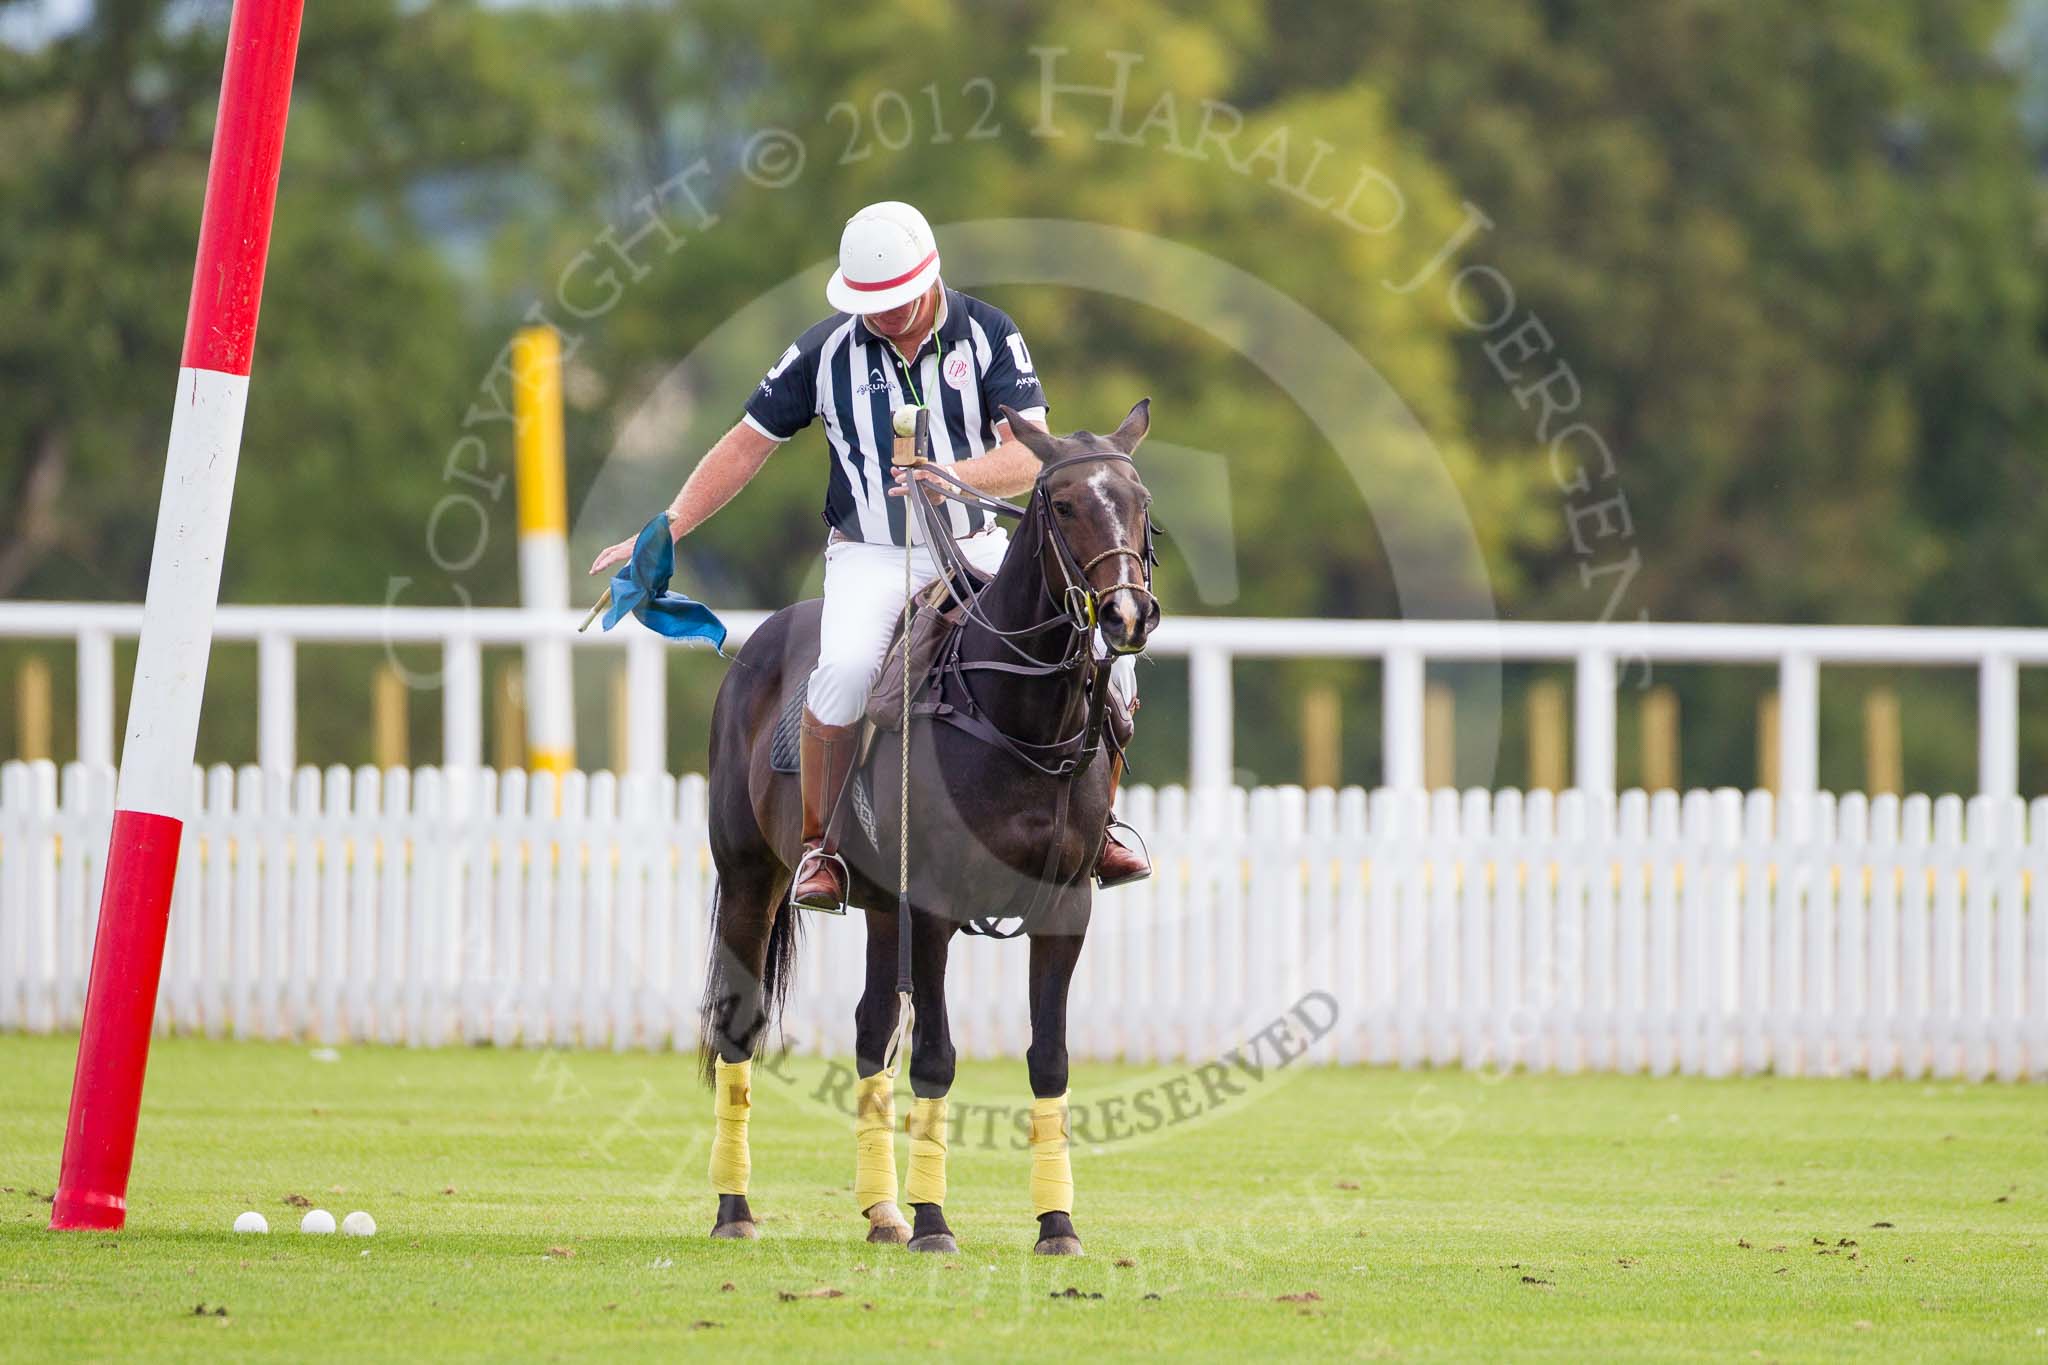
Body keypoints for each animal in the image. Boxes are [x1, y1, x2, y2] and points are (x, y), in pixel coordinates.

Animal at [700, 397, 1155, 1260]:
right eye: (1064, 504)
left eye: (1140, 501)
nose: (1127, 612)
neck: (1019, 715)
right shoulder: (938, 907)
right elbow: (938, 1056)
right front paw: (937, 1223)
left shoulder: (1064, 907)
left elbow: (1049, 1056)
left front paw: (1056, 1224)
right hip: (750, 875)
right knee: (741, 1030)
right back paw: (735, 1209)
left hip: (883, 905)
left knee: (870, 1026)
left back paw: (882, 1211)